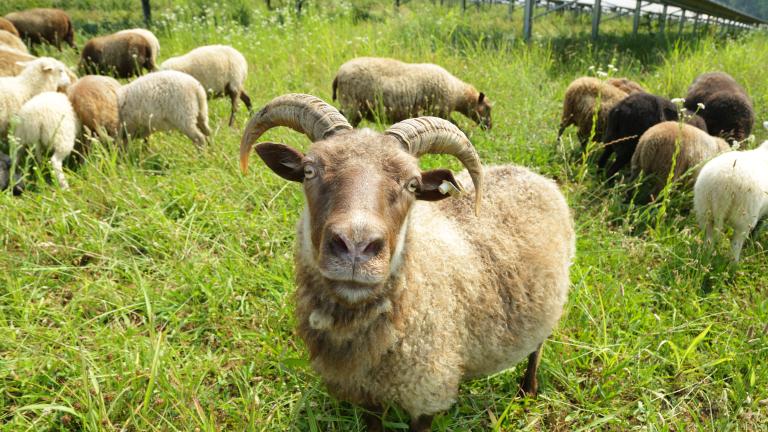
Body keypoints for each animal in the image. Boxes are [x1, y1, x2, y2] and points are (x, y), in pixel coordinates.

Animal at [239, 94, 574, 432]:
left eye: (412, 185)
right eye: (309, 171)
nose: (356, 246)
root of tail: (530, 173)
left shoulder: (428, 392)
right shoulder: (366, 395)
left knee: (537, 347)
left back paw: (527, 390)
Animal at [332, 57, 492, 129]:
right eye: (487, 108)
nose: (489, 126)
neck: (457, 92)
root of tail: (339, 73)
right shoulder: (439, 110)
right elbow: (455, 125)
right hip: (352, 105)